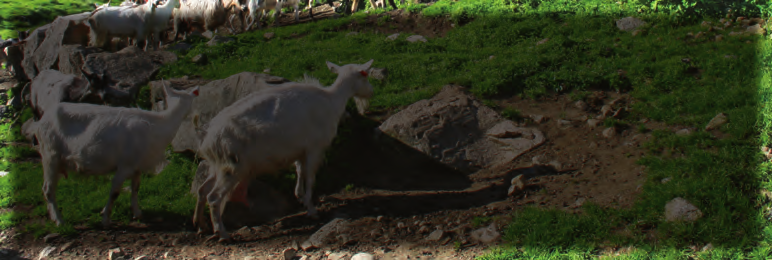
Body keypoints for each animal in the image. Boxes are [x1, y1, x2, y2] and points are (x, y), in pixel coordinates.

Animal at [34, 80, 201, 228]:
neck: (160, 125)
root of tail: (41, 121)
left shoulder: (137, 166)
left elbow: (136, 188)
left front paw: (137, 213)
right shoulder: (125, 165)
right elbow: (115, 192)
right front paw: (105, 219)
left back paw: (53, 216)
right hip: (50, 154)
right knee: (47, 189)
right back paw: (59, 221)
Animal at [193, 59, 374, 242]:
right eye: (365, 75)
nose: (371, 92)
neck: (332, 101)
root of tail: (205, 138)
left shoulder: (300, 150)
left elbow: (300, 171)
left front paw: (300, 197)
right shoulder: (315, 147)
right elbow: (311, 178)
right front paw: (312, 210)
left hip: (217, 165)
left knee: (202, 190)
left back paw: (200, 225)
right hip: (232, 165)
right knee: (214, 197)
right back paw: (222, 233)